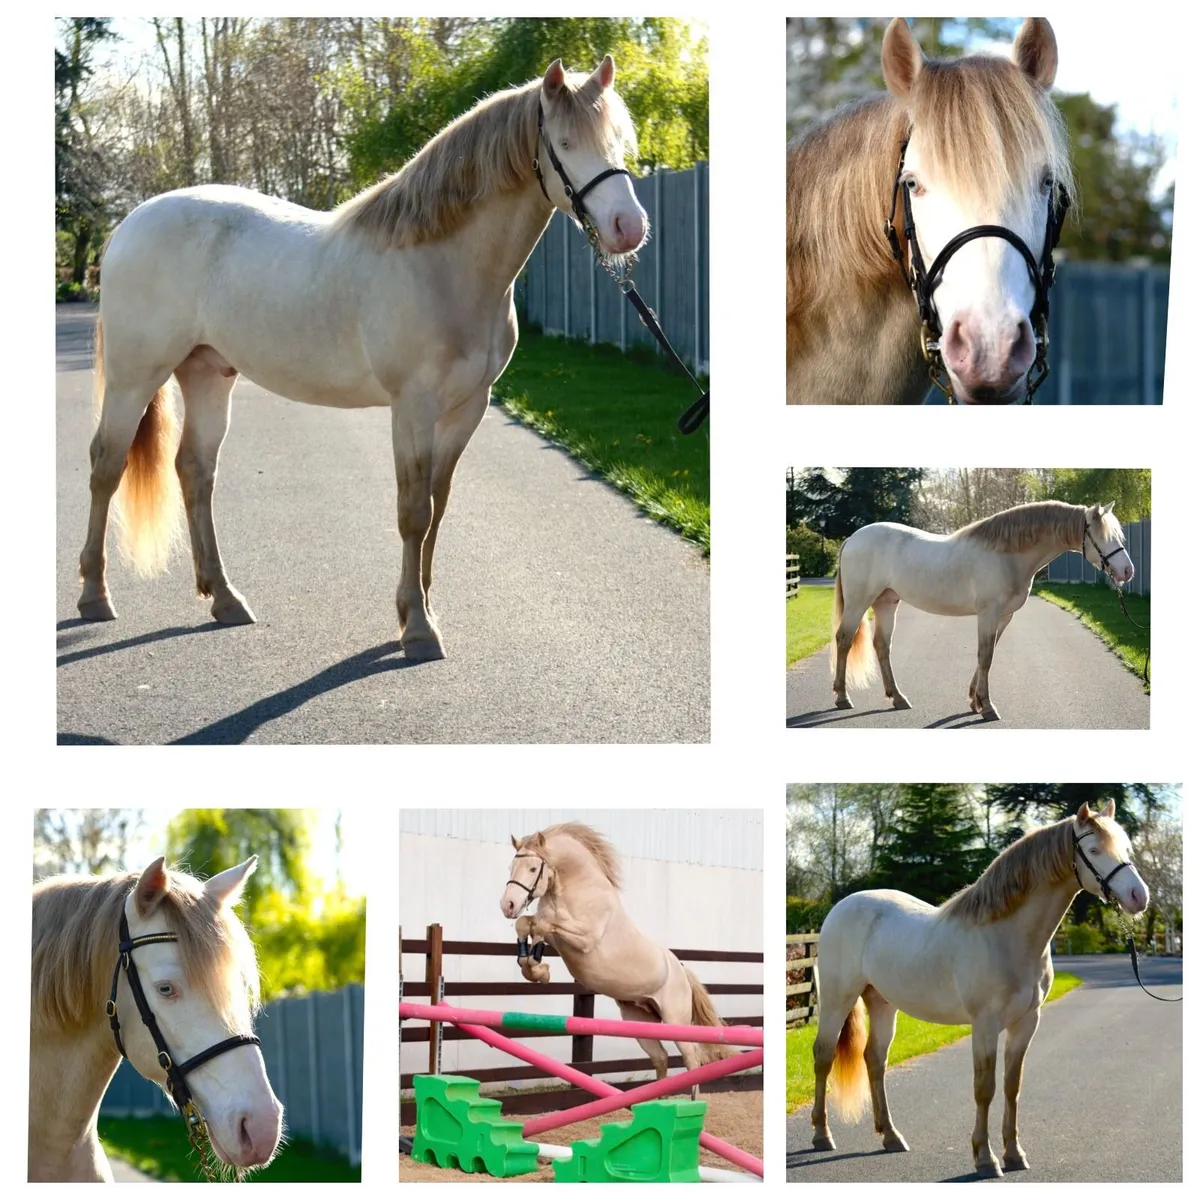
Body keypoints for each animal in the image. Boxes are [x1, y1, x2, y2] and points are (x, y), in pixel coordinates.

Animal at [77, 56, 646, 661]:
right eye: (564, 142)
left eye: (619, 140)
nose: (628, 228)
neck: (440, 263)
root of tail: (129, 224)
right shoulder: (412, 407)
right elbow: (413, 510)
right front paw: (416, 628)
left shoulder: (468, 407)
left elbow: (438, 503)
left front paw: (422, 606)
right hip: (135, 377)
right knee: (107, 465)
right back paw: (95, 595)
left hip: (209, 374)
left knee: (195, 471)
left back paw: (224, 597)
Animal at [499, 822, 727, 1096]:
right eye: (511, 867)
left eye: (533, 869)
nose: (508, 905)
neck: (573, 888)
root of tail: (682, 971)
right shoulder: (556, 936)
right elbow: (526, 924)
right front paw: (535, 968)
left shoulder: (583, 937)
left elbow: (543, 925)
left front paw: (539, 967)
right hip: (639, 1020)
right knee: (660, 1057)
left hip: (676, 1021)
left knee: (692, 1060)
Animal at [810, 800, 1149, 1176]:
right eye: (1093, 850)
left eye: (1126, 847)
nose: (1138, 897)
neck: (1005, 935)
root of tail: (841, 907)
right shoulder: (985, 1025)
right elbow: (984, 1088)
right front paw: (985, 1158)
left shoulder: (1026, 1023)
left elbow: (1012, 1086)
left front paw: (1014, 1154)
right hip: (837, 1000)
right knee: (824, 1056)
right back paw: (822, 1135)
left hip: (883, 1003)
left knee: (875, 1059)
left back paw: (891, 1136)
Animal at [830, 500, 1133, 720]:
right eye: (1102, 536)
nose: (1127, 571)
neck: (1006, 554)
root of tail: (852, 538)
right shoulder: (988, 612)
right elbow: (985, 656)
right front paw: (987, 707)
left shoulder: (1003, 616)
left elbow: (988, 654)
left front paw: (974, 701)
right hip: (859, 602)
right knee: (844, 640)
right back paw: (842, 698)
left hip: (886, 603)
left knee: (882, 646)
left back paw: (898, 698)